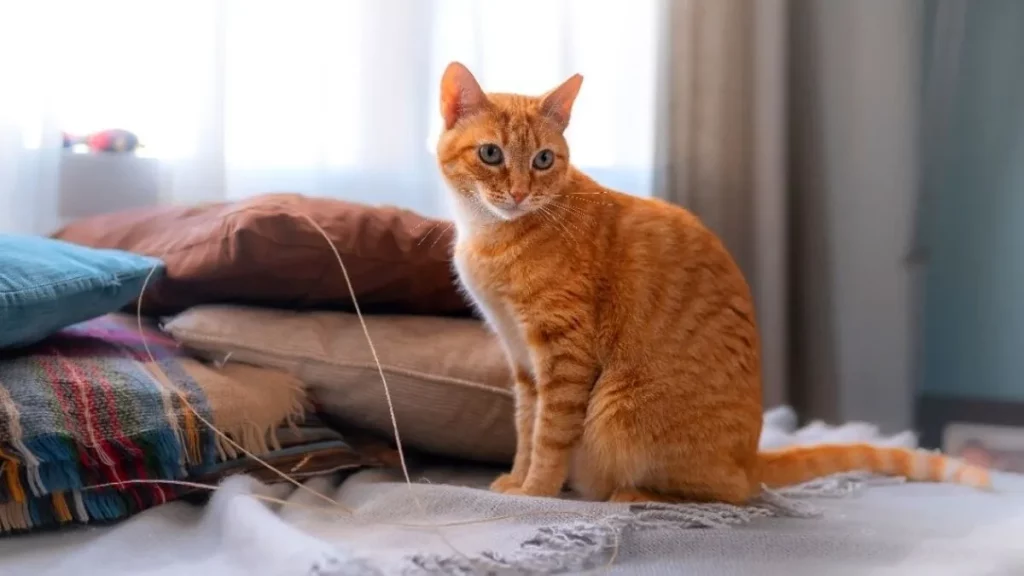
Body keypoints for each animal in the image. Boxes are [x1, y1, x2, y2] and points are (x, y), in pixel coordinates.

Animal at [434, 60, 991, 500]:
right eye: (491, 154)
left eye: (543, 160)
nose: (519, 192)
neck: (492, 237)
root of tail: (751, 455)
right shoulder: (522, 360)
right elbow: (526, 428)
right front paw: (516, 478)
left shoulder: (564, 355)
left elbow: (550, 435)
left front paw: (536, 492)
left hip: (618, 415)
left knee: (731, 493)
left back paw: (634, 496)